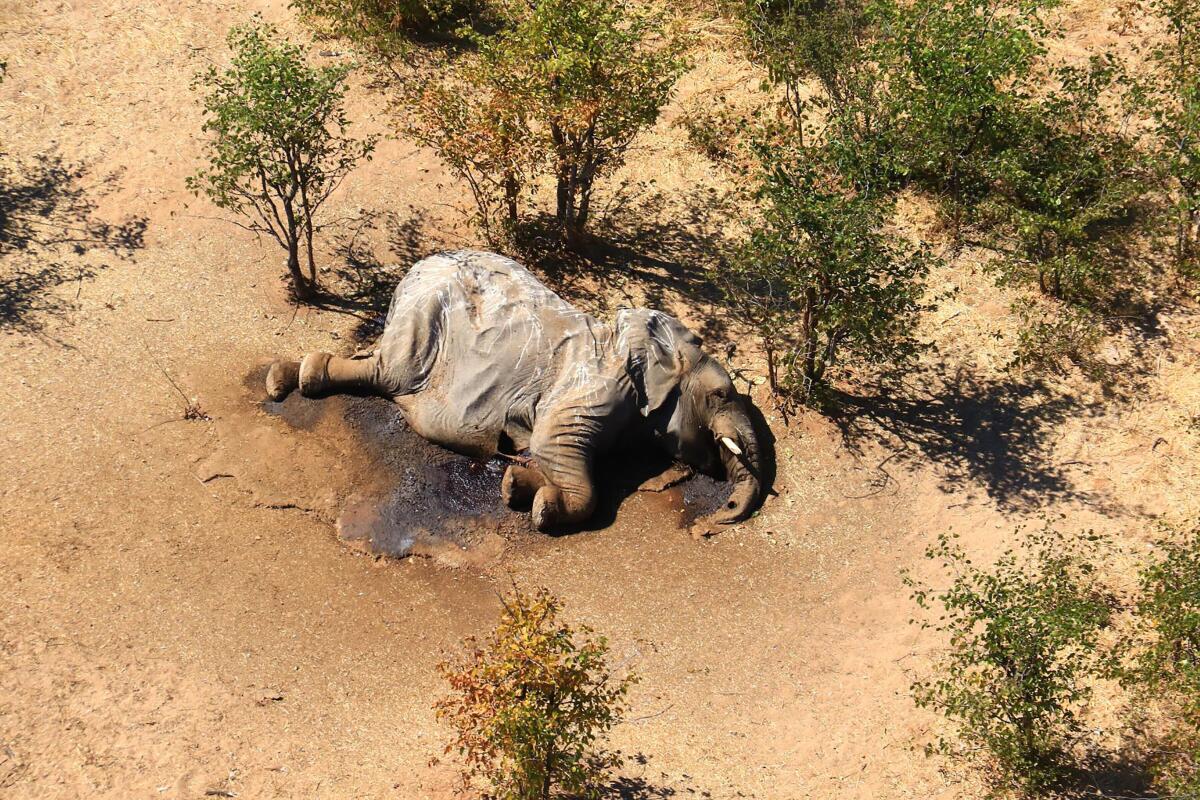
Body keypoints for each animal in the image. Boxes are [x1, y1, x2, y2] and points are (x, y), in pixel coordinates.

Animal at [266, 248, 763, 537]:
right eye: (721, 394)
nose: (711, 525)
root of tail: (416, 267)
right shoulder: (595, 387)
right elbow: (554, 446)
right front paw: (544, 509)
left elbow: (546, 453)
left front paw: (515, 486)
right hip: (423, 319)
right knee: (388, 374)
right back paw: (291, 379)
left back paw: (286, 377)